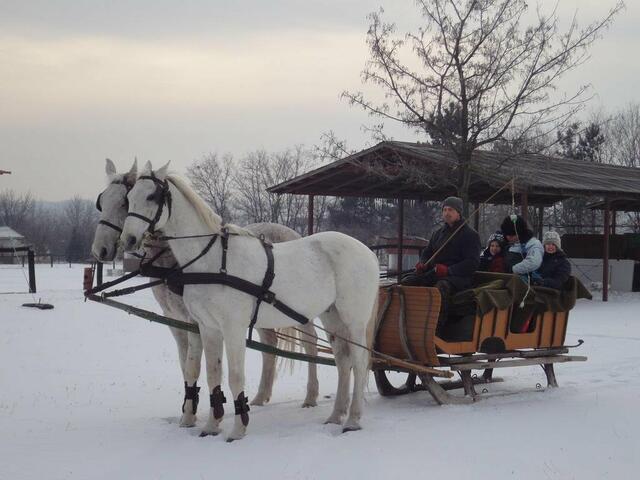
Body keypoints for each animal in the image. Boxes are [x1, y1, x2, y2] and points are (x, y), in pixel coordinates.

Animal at [90, 159, 320, 430]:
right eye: (102, 201)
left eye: (124, 202)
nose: (101, 250)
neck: (176, 261)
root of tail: (295, 234)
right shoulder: (175, 320)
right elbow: (186, 365)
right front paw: (190, 407)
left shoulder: (195, 321)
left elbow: (193, 365)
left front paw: (192, 415)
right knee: (270, 345)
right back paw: (261, 396)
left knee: (311, 343)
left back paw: (311, 396)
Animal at [120, 163, 380, 440]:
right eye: (129, 197)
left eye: (152, 196)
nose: (128, 239)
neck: (212, 260)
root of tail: (367, 251)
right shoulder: (208, 328)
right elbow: (213, 374)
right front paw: (211, 426)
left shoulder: (233, 328)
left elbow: (235, 377)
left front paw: (238, 428)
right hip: (331, 315)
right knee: (343, 360)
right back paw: (336, 414)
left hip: (353, 319)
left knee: (359, 361)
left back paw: (352, 419)